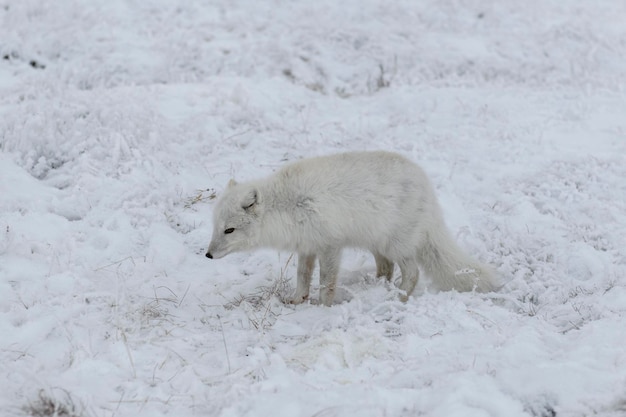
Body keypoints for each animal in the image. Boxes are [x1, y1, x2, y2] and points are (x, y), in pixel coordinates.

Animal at [207, 150, 494, 306]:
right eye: (216, 228)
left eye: (229, 230)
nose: (208, 255)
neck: (287, 206)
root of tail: (428, 188)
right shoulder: (307, 246)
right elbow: (302, 276)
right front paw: (298, 300)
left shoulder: (329, 246)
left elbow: (326, 283)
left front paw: (322, 307)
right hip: (376, 243)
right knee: (386, 268)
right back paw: (375, 286)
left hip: (395, 244)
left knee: (412, 273)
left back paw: (398, 297)